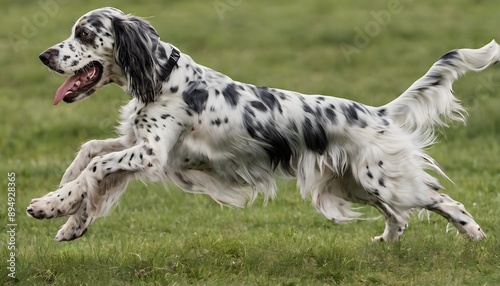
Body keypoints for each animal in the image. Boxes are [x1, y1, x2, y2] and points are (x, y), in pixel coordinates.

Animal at [29, 7, 498, 241]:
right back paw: (384, 243)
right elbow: (89, 154)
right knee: (400, 218)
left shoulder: (150, 153)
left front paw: (52, 204)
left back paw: (476, 237)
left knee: (443, 200)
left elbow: (95, 166)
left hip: (382, 181)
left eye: (84, 34)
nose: (44, 56)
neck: (163, 76)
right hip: (356, 184)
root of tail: (377, 113)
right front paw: (67, 215)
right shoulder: (138, 145)